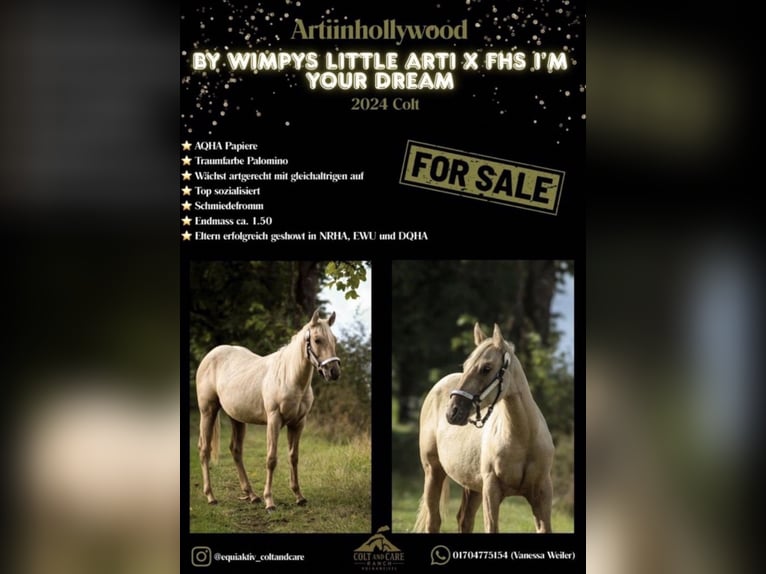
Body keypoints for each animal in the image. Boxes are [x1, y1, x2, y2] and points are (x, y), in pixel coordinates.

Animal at [195, 309, 341, 511]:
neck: (289, 377)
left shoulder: (298, 423)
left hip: (237, 418)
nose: (333, 372)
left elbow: (293, 457)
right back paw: (211, 496)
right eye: (317, 340)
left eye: (334, 339)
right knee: (204, 450)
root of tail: (210, 356)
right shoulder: (274, 420)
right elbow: (271, 459)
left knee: (236, 450)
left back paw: (251, 495)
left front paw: (299, 496)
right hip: (208, 411)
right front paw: (270, 501)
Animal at [414, 322, 554, 533]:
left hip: (472, 486)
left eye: (486, 368)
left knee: (464, 520)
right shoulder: (491, 491)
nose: (453, 412)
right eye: (465, 366)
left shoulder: (542, 495)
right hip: (433, 471)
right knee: (434, 521)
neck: (524, 439)